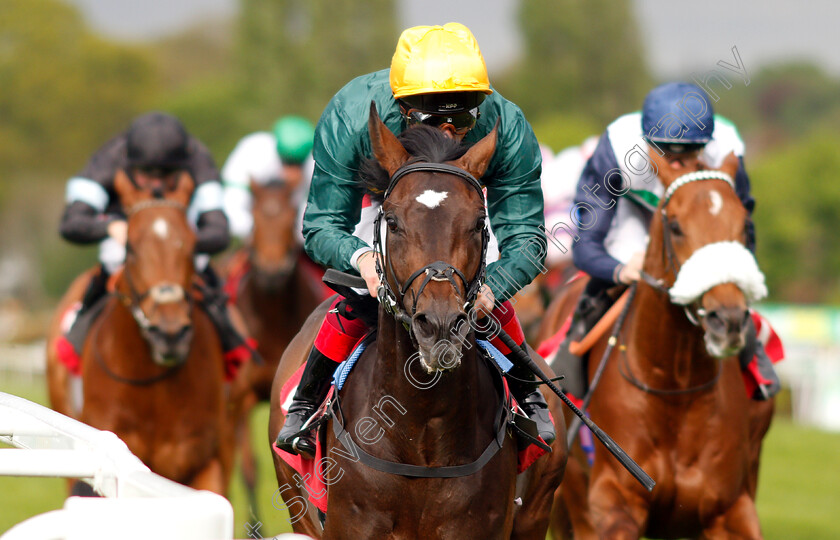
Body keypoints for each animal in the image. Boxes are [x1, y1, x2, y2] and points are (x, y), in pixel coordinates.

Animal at [544, 154, 776, 536]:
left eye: (745, 226)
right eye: (676, 226)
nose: (726, 320)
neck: (675, 386)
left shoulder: (731, 509)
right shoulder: (616, 499)